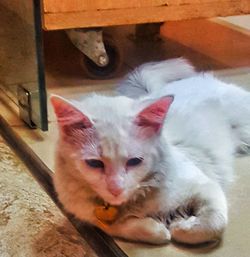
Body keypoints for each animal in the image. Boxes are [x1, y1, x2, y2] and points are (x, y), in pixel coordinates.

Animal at [50, 58, 250, 244]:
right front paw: (160, 229)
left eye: (135, 161)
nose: (116, 189)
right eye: (94, 163)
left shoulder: (206, 187)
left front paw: (180, 226)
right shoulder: (92, 217)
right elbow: (121, 227)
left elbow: (213, 224)